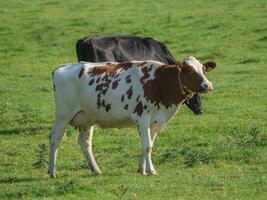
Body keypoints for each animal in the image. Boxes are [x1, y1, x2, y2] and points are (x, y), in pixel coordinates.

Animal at [47, 55, 216, 177]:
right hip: (63, 114)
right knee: (55, 138)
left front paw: (142, 169)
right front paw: (151, 171)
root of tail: (63, 67)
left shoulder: (154, 122)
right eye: (188, 70)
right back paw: (52, 172)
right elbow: (147, 146)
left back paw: (96, 170)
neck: (159, 82)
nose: (208, 85)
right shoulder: (142, 117)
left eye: (203, 69)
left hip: (87, 118)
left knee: (85, 142)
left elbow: (148, 145)